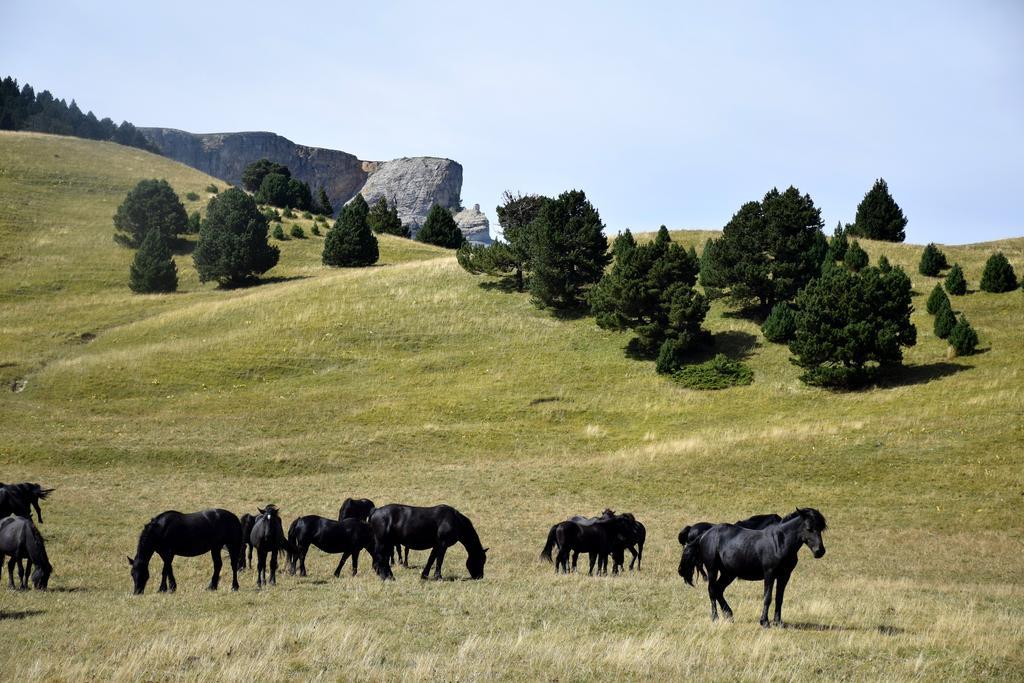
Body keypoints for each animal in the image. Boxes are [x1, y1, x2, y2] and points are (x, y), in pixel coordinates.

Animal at [679, 505, 831, 626]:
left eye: (821, 529)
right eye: (809, 528)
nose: (820, 551)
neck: (780, 542)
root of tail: (704, 534)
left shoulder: (784, 576)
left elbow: (779, 598)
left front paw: (778, 622)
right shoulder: (769, 573)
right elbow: (768, 597)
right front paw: (764, 621)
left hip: (728, 573)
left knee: (718, 590)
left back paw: (729, 616)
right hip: (712, 569)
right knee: (711, 590)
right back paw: (715, 618)